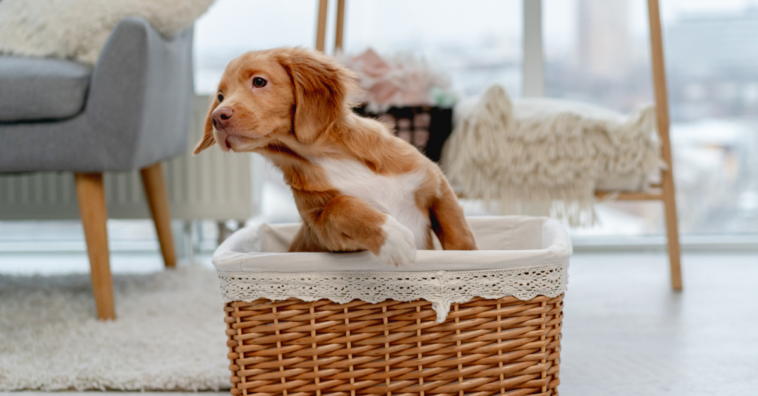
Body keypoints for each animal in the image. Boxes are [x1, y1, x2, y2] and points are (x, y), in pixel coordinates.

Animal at [193, 48, 478, 264]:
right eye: (220, 96)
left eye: (259, 81)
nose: (218, 117)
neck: (325, 154)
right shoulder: (326, 233)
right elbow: (340, 206)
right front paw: (393, 236)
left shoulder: (436, 183)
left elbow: (459, 234)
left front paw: (468, 262)